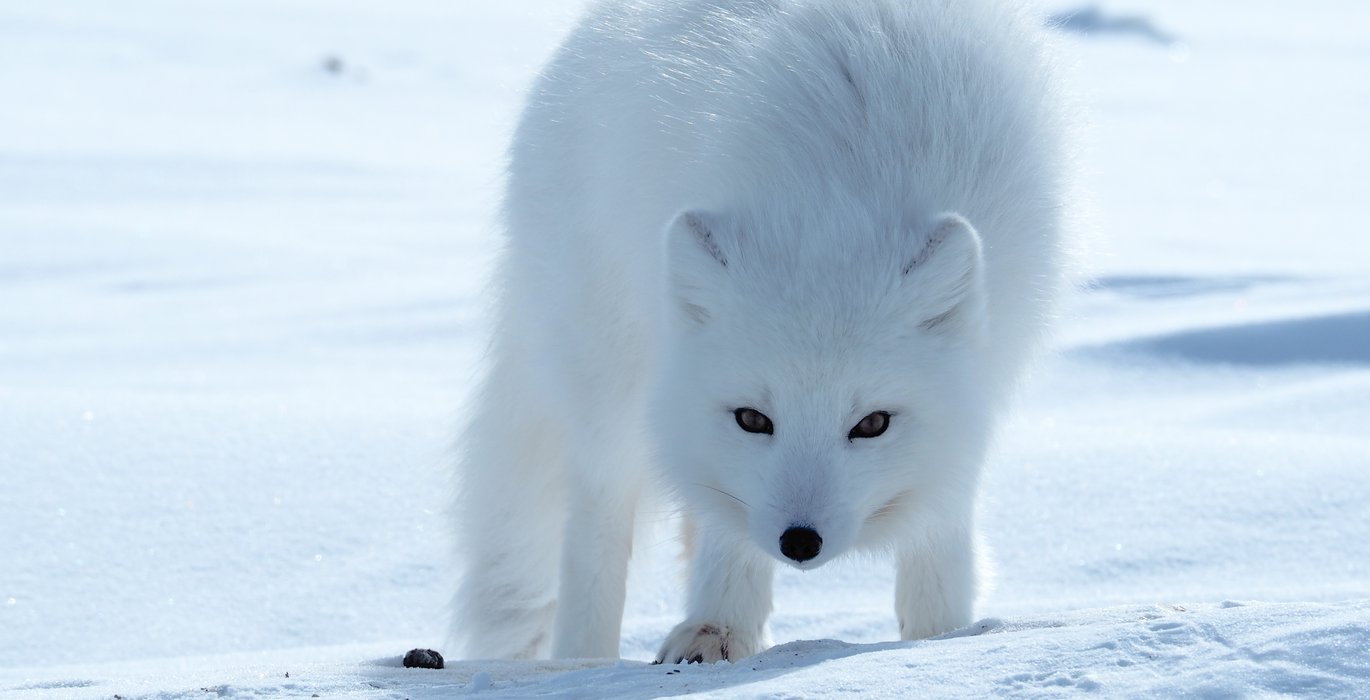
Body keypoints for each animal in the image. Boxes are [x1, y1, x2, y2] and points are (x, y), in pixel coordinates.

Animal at [449, 0, 1068, 663]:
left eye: (872, 424)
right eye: (753, 418)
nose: (799, 541)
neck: (835, 200)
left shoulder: (988, 366)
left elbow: (940, 513)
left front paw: (939, 638)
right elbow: (726, 526)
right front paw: (717, 628)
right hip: (608, 374)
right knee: (602, 512)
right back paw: (586, 660)